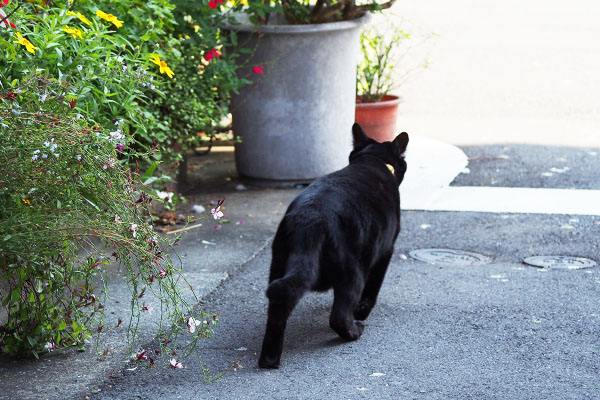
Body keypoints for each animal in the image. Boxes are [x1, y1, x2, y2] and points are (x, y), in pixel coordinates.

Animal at [258, 124, 408, 368]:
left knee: (279, 303)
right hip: (353, 271)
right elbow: (372, 290)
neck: (372, 161)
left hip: (280, 265)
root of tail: (311, 220)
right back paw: (355, 330)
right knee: (338, 316)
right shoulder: (386, 250)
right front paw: (362, 311)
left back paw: (269, 359)